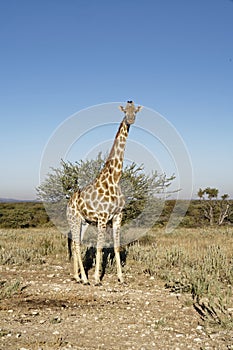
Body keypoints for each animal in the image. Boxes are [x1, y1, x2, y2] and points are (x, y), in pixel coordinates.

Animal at [66, 100, 142, 284]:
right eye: (125, 111)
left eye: (135, 111)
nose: (131, 119)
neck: (114, 179)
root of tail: (69, 201)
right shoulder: (102, 217)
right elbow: (100, 247)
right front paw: (97, 279)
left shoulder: (117, 216)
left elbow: (116, 247)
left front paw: (121, 277)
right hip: (73, 219)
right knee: (77, 244)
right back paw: (84, 279)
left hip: (84, 222)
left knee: (77, 243)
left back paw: (76, 276)